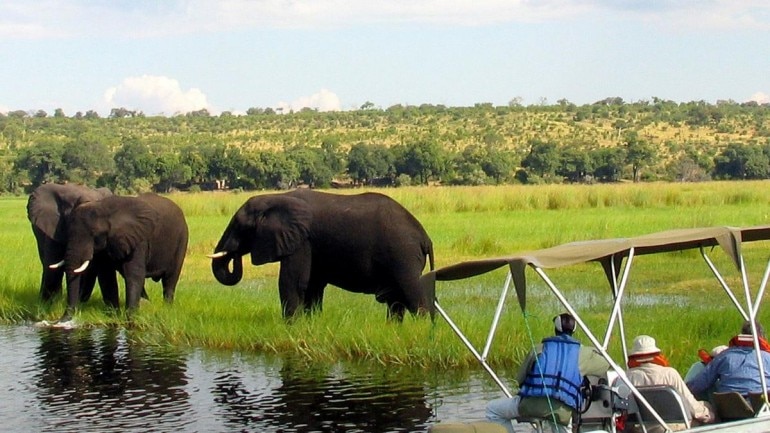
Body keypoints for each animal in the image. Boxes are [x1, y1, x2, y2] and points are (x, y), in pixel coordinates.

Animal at [53, 193, 189, 320]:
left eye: (94, 234)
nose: (62, 320)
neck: (104, 208)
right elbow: (107, 275)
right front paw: (114, 315)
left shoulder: (138, 239)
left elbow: (133, 274)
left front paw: (130, 318)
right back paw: (146, 304)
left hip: (182, 239)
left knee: (170, 279)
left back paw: (167, 308)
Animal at [209, 189, 435, 321]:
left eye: (240, 226)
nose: (235, 253)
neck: (275, 196)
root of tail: (425, 237)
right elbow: (312, 285)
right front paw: (311, 323)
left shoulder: (301, 241)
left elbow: (293, 282)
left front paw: (290, 326)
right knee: (396, 301)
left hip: (403, 255)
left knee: (412, 294)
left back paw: (421, 328)